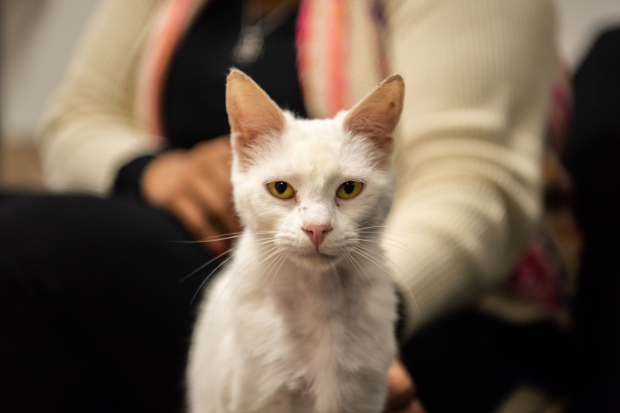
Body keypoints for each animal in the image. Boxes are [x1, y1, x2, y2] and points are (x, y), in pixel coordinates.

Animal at [186, 70, 404, 412]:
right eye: (281, 188)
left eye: (349, 189)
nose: (317, 228)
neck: (320, 296)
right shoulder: (260, 395)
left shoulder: (361, 395)